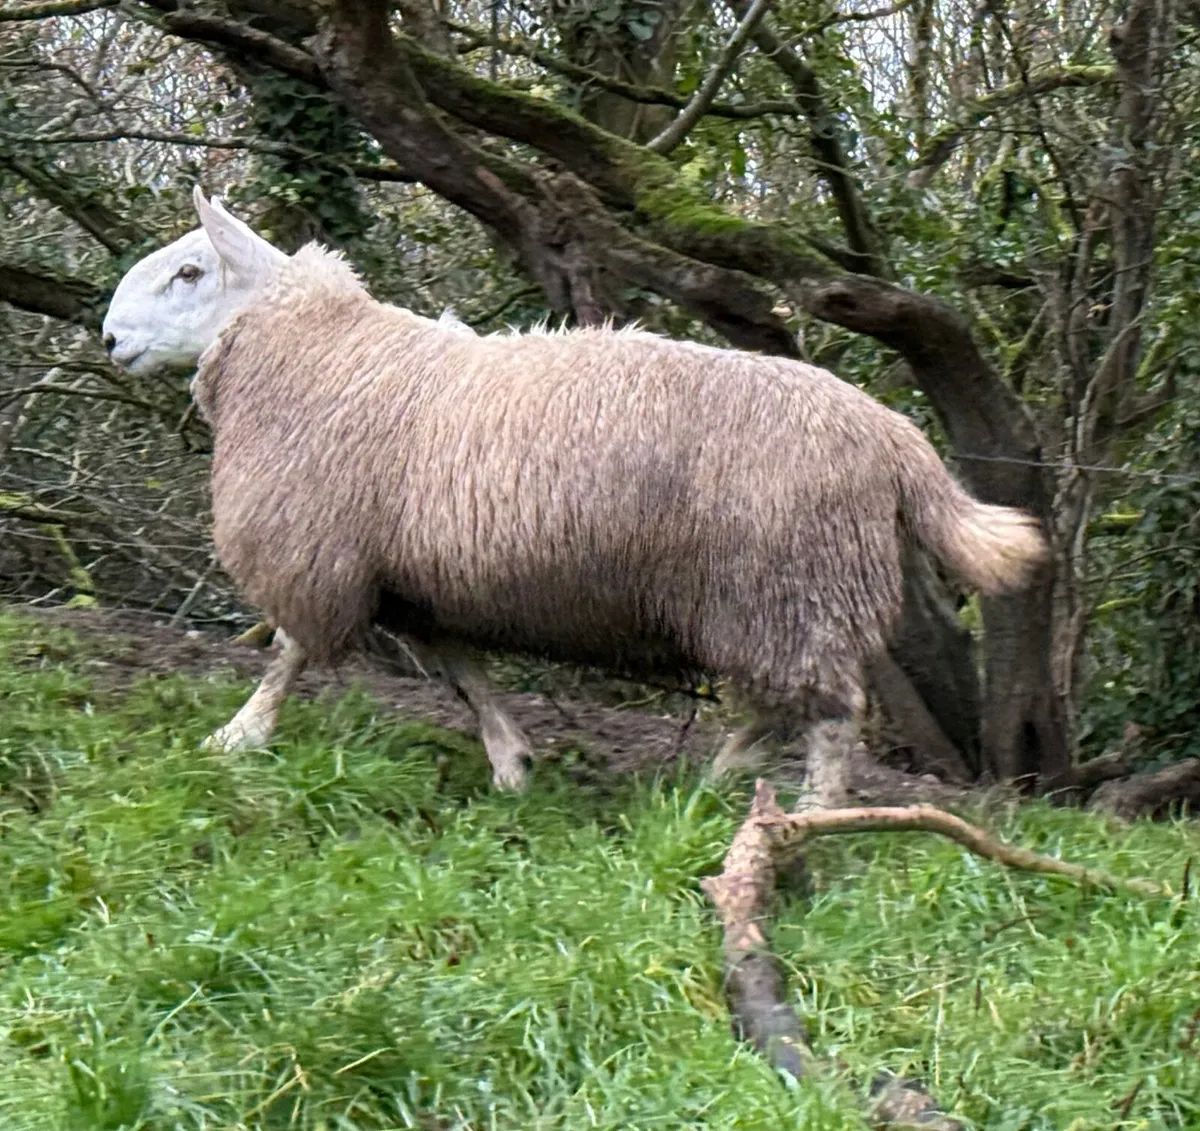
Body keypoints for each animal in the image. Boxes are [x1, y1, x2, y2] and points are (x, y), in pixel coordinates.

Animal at [102, 186, 1048, 804]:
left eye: (190, 272)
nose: (109, 337)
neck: (314, 349)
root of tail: (893, 435)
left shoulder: (318, 546)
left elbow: (290, 651)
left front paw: (238, 736)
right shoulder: (417, 576)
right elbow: (463, 668)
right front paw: (511, 760)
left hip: (786, 588)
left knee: (831, 713)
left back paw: (805, 814)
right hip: (775, 599)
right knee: (780, 706)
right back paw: (710, 784)